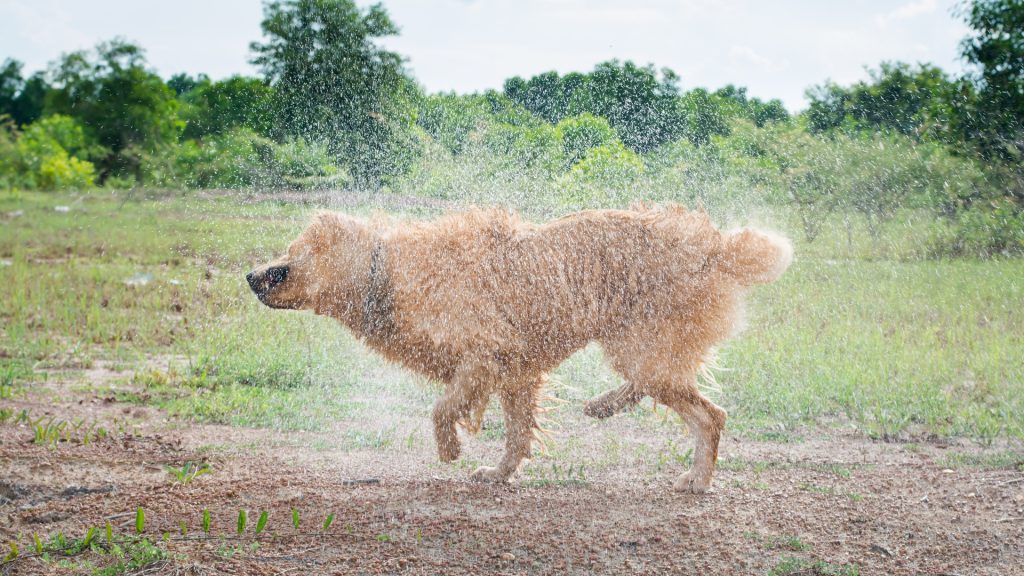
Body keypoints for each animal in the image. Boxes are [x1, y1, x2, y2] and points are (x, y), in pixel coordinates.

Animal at [245, 203, 790, 491]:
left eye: (286, 264)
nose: (250, 277)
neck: (388, 274)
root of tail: (716, 250)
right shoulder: (516, 371)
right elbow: (516, 434)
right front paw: (499, 471)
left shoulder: (483, 357)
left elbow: (443, 409)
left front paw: (450, 449)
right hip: (640, 343)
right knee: (668, 390)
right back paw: (606, 405)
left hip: (639, 340)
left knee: (706, 413)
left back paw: (692, 475)